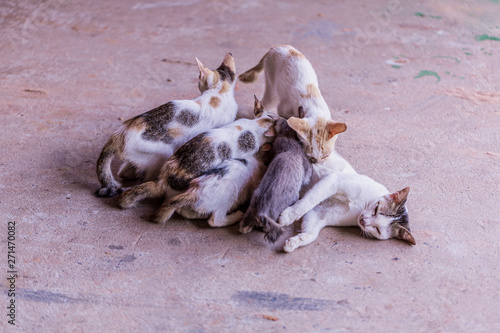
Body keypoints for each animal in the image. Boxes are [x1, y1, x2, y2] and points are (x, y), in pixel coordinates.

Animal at [278, 163, 414, 252]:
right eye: (376, 209)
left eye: (377, 229)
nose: (363, 221)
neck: (360, 208)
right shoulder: (335, 180)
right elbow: (309, 201)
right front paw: (289, 216)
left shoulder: (320, 213)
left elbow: (311, 233)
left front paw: (295, 242)